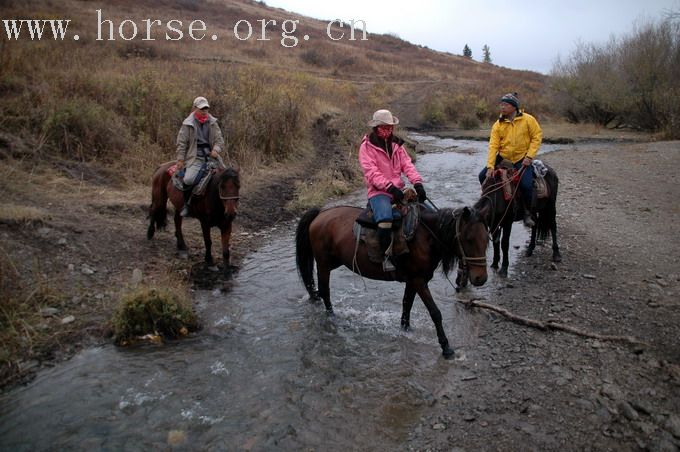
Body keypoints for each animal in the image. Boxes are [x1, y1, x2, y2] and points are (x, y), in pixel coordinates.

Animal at [296, 204, 488, 356]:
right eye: (468, 239)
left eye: (486, 239)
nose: (481, 278)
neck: (424, 238)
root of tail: (321, 213)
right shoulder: (419, 281)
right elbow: (435, 312)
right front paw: (446, 347)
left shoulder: (413, 280)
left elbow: (407, 304)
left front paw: (406, 329)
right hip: (323, 264)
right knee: (324, 291)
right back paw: (332, 317)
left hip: (332, 262)